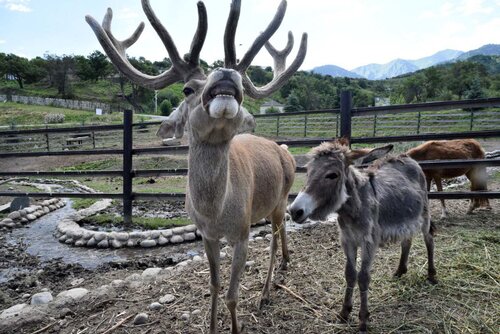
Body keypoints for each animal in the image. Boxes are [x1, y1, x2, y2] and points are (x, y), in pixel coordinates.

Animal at [85, 1, 304, 332]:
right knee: (280, 235)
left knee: (275, 240)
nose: (226, 74)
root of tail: (285, 151)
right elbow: (214, 286)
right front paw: (212, 326)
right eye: (187, 89)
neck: (215, 212)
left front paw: (236, 325)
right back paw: (285, 266)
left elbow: (232, 295)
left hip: (281, 198)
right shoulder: (206, 234)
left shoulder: (242, 233)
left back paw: (267, 291)